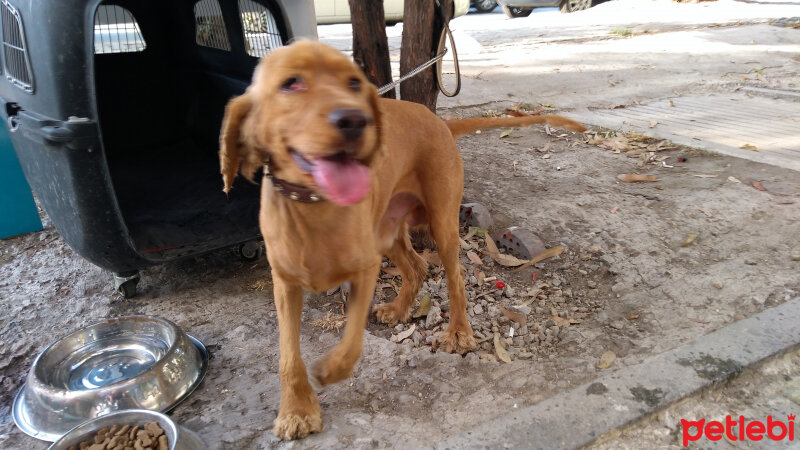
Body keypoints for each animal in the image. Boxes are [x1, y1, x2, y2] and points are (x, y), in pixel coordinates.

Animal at [220, 40, 588, 438]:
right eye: (291, 84)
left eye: (354, 83)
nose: (355, 121)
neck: (314, 208)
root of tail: (440, 121)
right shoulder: (285, 285)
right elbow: (288, 356)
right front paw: (296, 410)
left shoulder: (365, 269)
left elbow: (352, 342)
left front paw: (330, 370)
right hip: (388, 230)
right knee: (416, 268)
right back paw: (398, 309)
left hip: (442, 223)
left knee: (455, 276)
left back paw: (458, 333)